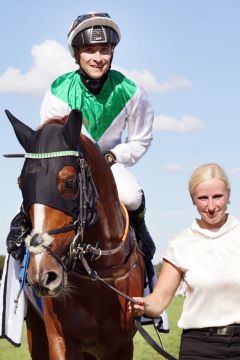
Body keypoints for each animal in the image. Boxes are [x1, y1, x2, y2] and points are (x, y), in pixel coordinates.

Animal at [5, 109, 144, 360]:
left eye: (69, 182)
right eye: (21, 184)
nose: (42, 274)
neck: (99, 275)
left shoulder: (121, 345)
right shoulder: (60, 341)